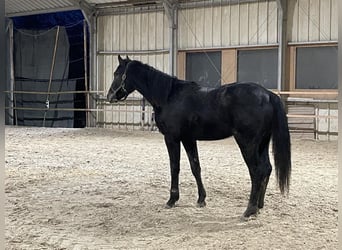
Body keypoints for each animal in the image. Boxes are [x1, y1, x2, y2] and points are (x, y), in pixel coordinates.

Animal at [107, 55, 292, 218]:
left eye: (117, 73)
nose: (109, 96)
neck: (169, 96)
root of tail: (267, 95)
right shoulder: (188, 138)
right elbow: (195, 167)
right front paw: (201, 199)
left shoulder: (172, 138)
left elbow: (174, 167)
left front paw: (172, 199)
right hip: (262, 143)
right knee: (267, 168)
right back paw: (259, 206)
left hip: (247, 143)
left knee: (256, 171)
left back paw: (250, 210)